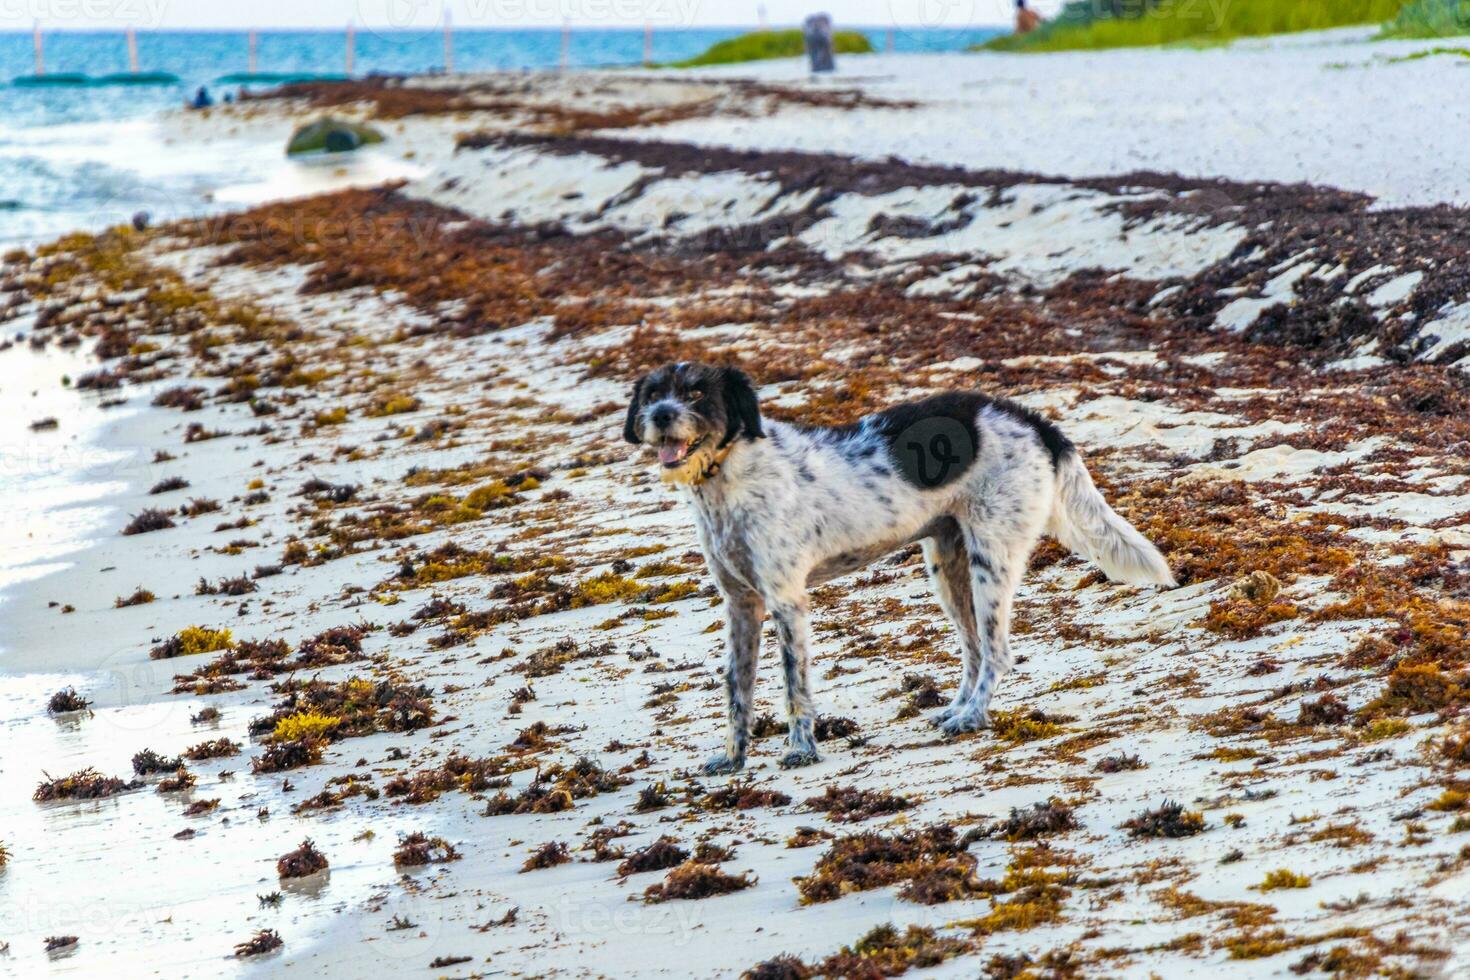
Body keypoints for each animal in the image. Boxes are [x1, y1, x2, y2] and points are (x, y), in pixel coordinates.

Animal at [620, 359, 1170, 775]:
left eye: (696, 392)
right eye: (653, 393)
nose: (662, 416)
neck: (729, 478)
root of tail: (1032, 419)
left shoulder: (786, 601)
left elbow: (794, 684)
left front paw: (801, 750)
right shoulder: (740, 605)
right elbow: (738, 685)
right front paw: (734, 758)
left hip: (991, 559)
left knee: (997, 653)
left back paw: (972, 718)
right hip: (947, 565)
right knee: (974, 650)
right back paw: (957, 708)